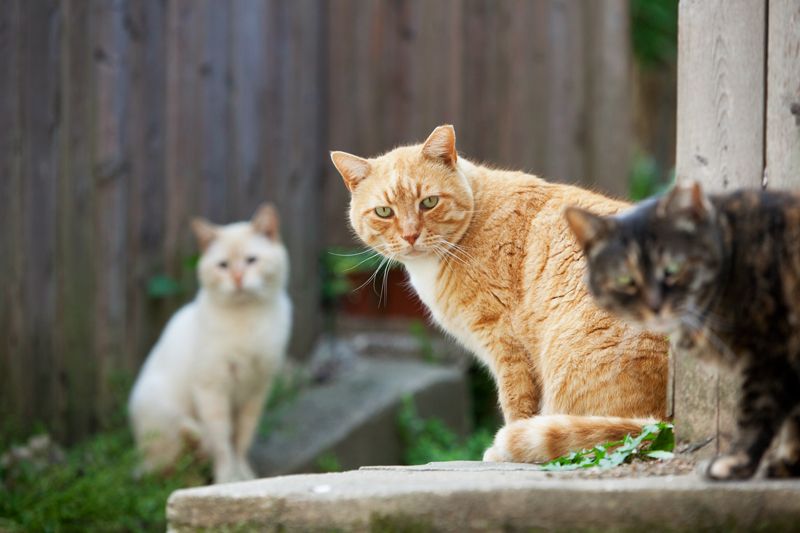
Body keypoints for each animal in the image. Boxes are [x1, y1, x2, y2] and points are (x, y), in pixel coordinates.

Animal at [130, 203, 292, 482]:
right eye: (223, 265)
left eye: (251, 261)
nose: (237, 278)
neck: (247, 319)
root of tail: (142, 460)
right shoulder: (212, 388)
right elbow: (222, 440)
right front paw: (228, 478)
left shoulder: (257, 390)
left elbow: (242, 439)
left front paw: (244, 475)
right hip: (163, 412)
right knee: (176, 467)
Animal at [332, 125, 668, 462]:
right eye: (384, 212)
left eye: (428, 202)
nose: (410, 235)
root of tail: (663, 423)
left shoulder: (504, 342)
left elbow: (515, 404)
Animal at [564, 181, 800, 480]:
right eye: (626, 280)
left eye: (672, 269)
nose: (655, 305)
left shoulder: (771, 350)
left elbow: (758, 414)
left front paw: (735, 463)